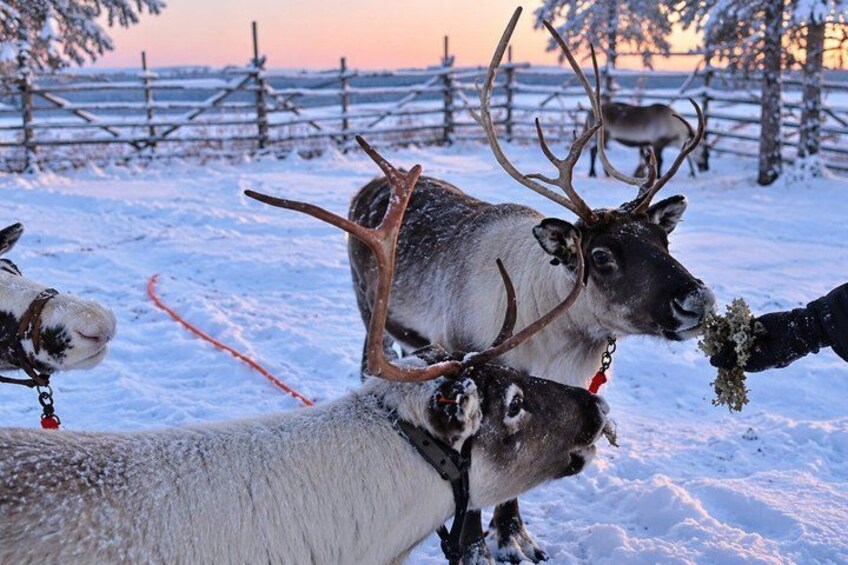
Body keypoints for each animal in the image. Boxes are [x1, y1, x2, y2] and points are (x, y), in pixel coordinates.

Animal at [347, 7, 714, 563]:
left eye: (663, 240)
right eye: (601, 257)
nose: (697, 299)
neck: (557, 337)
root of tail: (365, 190)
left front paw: (514, 536)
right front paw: (481, 544)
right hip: (370, 308)